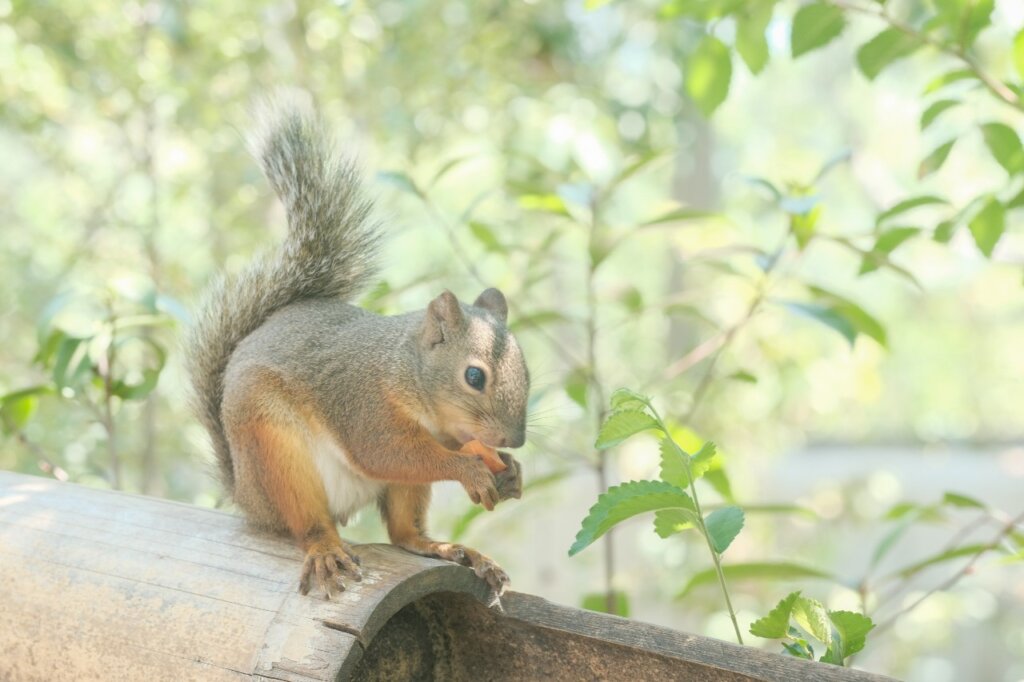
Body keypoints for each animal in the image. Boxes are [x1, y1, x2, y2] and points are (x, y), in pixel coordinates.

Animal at [183, 90, 528, 593]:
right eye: (473, 376)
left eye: (527, 370)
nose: (514, 441)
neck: (403, 372)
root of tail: (247, 497)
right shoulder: (363, 404)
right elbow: (386, 452)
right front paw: (467, 467)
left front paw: (511, 473)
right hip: (274, 450)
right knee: (308, 522)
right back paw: (325, 549)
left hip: (397, 490)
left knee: (404, 532)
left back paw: (448, 549)